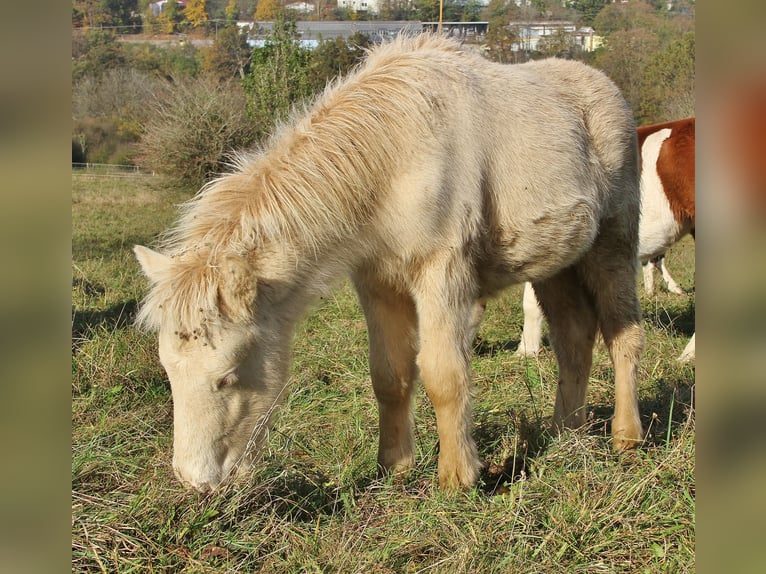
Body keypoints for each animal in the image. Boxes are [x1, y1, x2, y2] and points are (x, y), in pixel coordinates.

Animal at [135, 35, 644, 496]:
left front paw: (457, 479)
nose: (196, 482)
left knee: (623, 335)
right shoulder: (376, 282)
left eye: (228, 377)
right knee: (575, 337)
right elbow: (389, 375)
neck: (395, 151)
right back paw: (565, 433)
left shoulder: (441, 274)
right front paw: (394, 468)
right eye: (169, 374)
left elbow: (444, 375)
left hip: (613, 244)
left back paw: (626, 437)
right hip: (556, 264)